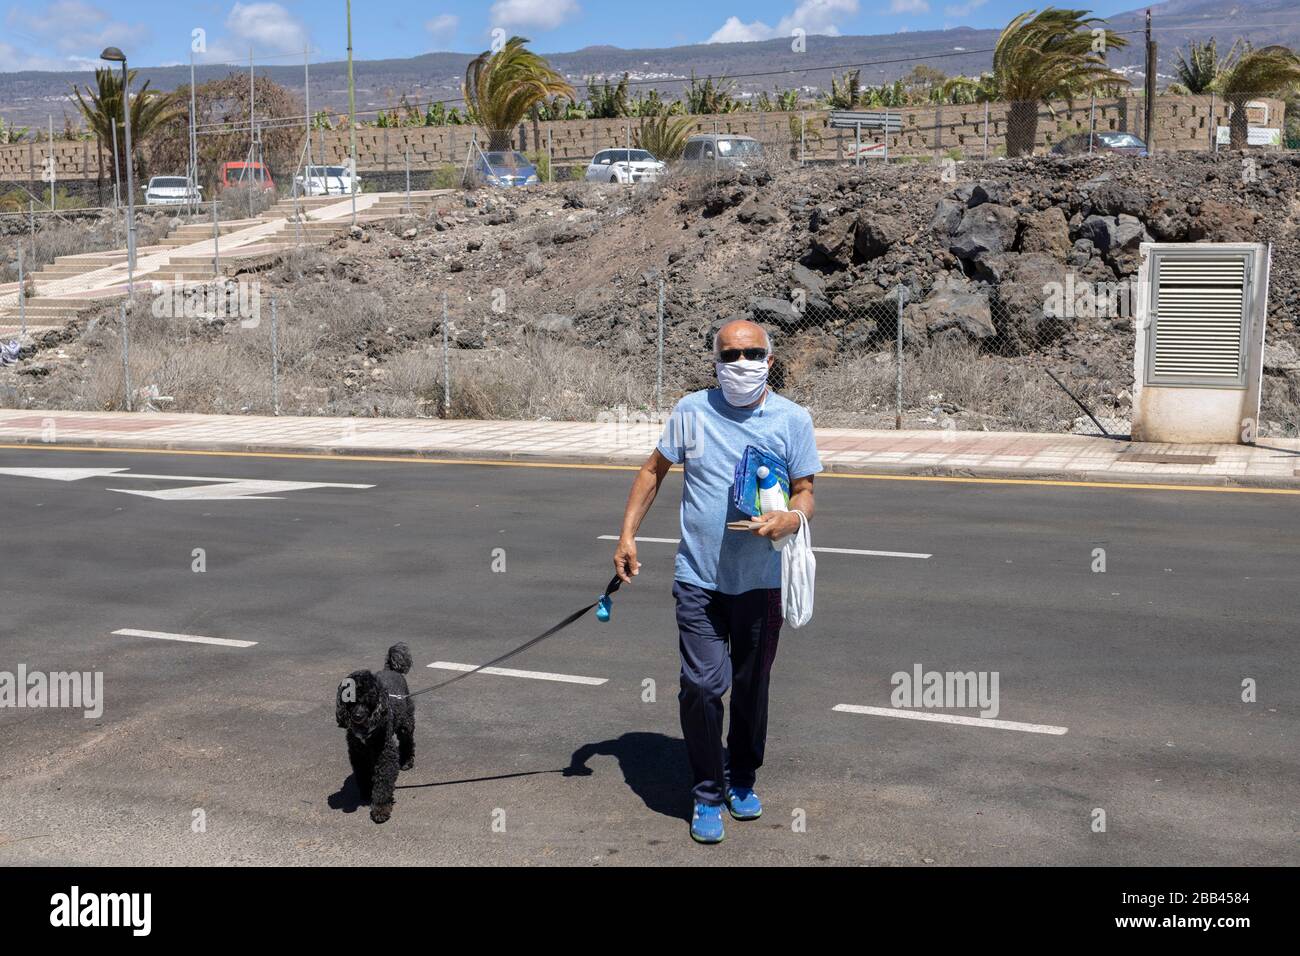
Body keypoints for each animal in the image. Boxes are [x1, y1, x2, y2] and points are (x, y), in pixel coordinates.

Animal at [335, 642, 416, 822]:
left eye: (369, 698)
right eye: (349, 698)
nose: (357, 716)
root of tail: (391, 669)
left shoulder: (384, 752)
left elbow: (384, 781)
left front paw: (380, 809)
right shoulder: (358, 753)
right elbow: (363, 773)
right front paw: (366, 792)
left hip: (406, 722)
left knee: (407, 741)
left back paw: (407, 762)